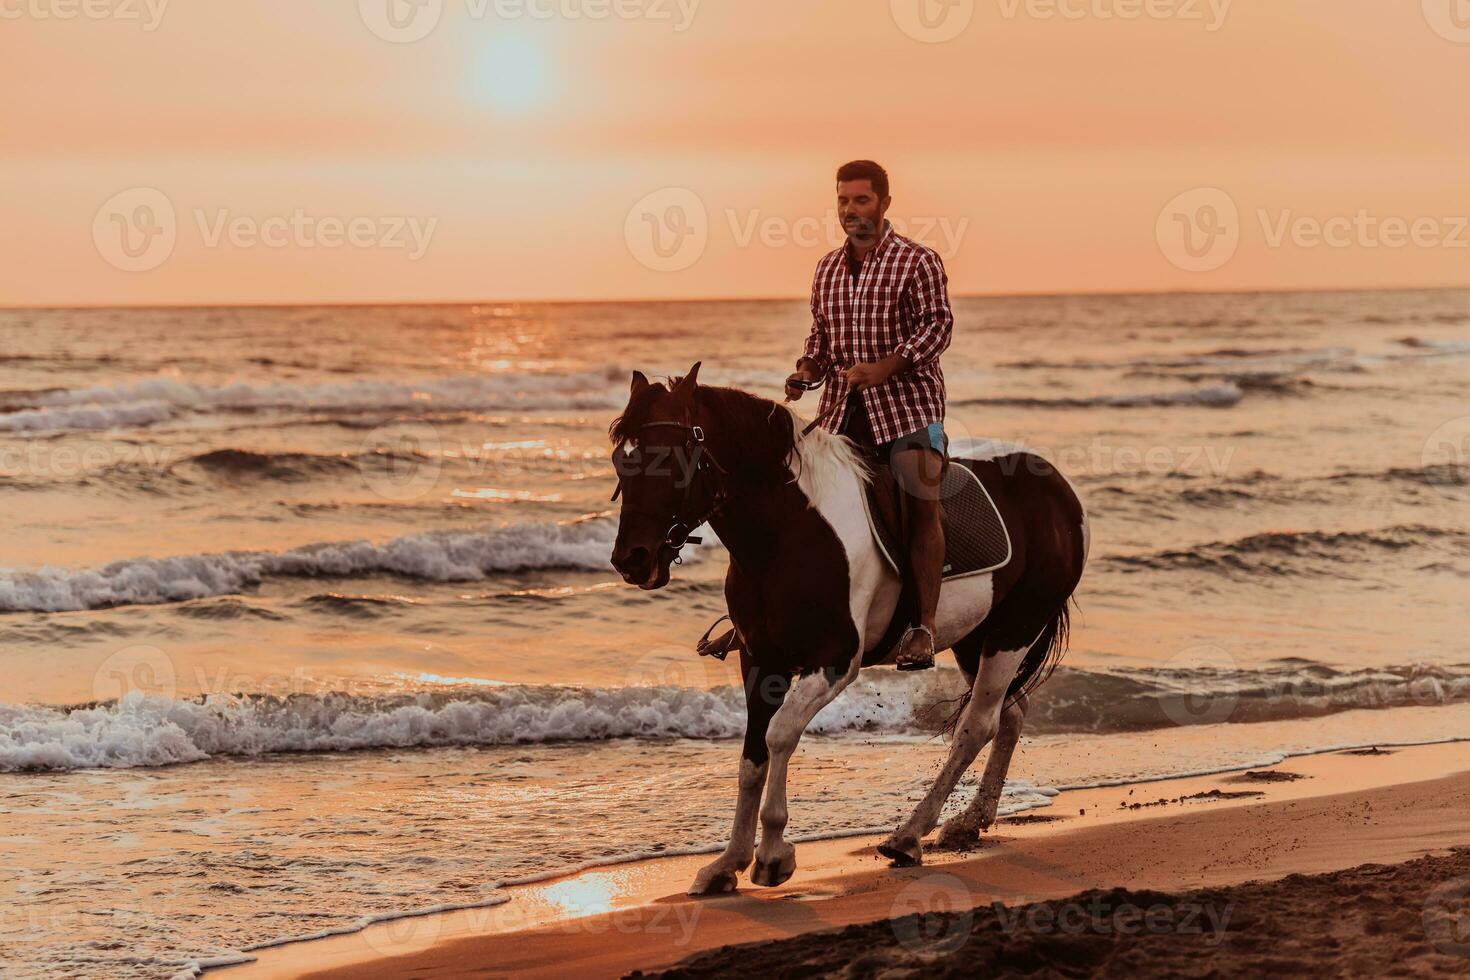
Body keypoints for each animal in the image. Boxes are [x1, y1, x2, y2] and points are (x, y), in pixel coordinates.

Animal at [608, 364, 1093, 893]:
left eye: (673, 460)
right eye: (620, 460)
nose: (631, 559)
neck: (785, 534)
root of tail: (1061, 493)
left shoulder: (836, 659)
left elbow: (779, 735)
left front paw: (773, 855)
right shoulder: (760, 660)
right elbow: (751, 758)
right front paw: (727, 863)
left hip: (1014, 629)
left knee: (976, 726)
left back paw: (908, 836)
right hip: (975, 639)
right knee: (1011, 714)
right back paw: (969, 822)